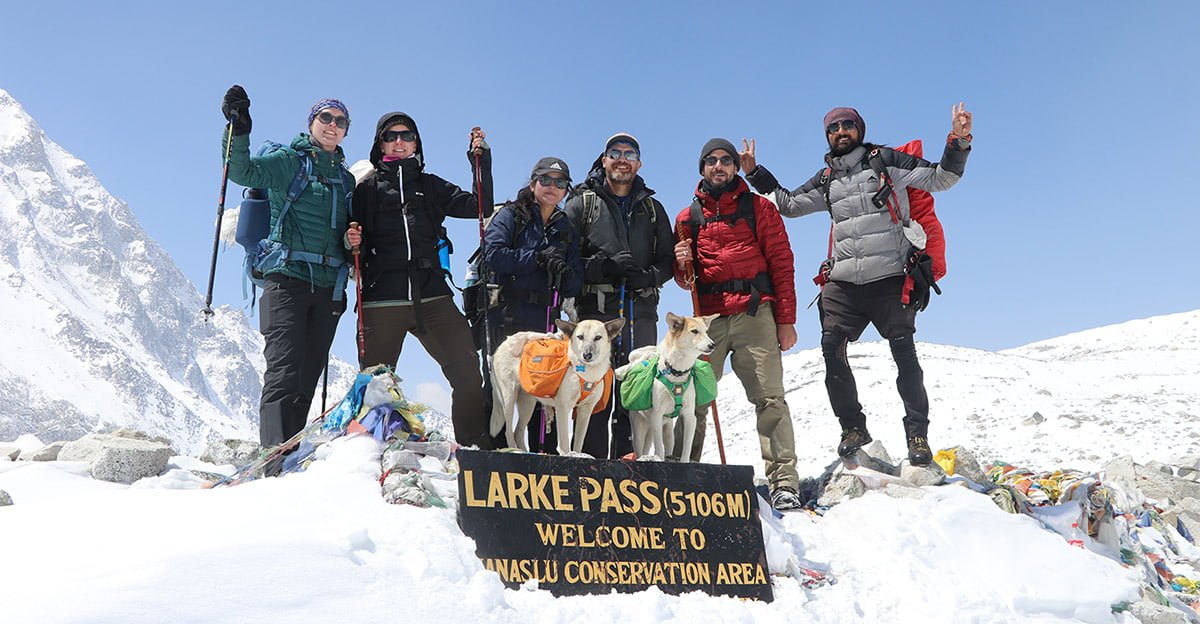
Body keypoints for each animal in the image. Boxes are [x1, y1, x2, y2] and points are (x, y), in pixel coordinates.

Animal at [487, 319, 624, 456]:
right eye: (580, 337)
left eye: (598, 337)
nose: (587, 355)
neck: (585, 372)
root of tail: (504, 343)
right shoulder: (562, 408)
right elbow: (564, 443)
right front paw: (568, 455)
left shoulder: (585, 411)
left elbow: (579, 442)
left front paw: (577, 454)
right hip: (509, 398)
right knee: (508, 432)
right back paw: (514, 450)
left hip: (527, 405)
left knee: (518, 432)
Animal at [614, 312, 715, 463]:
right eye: (694, 331)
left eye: (706, 332)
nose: (712, 345)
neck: (676, 373)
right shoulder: (657, 415)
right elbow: (659, 447)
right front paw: (658, 458)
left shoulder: (690, 417)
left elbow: (686, 447)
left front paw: (684, 461)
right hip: (639, 430)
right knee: (641, 449)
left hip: (667, 432)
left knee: (667, 446)